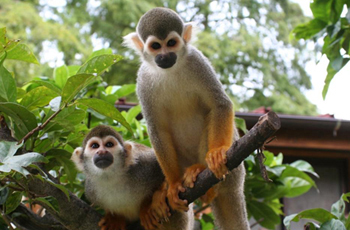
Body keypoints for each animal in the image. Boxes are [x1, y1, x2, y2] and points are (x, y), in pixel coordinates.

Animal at [124, 7, 250, 230]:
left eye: (171, 43)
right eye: (156, 46)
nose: (165, 56)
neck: (170, 71)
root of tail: (237, 186)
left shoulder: (197, 62)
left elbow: (219, 105)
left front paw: (217, 152)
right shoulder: (143, 81)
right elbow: (158, 130)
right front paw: (173, 185)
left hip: (234, 171)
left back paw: (203, 173)